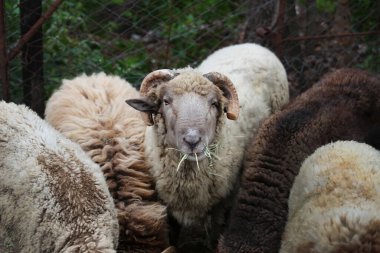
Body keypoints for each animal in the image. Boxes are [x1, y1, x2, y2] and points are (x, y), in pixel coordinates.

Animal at [126, 42, 290, 250]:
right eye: (165, 101)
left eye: (214, 103)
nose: (193, 141)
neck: (189, 178)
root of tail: (253, 45)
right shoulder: (169, 204)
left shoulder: (221, 202)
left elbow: (214, 237)